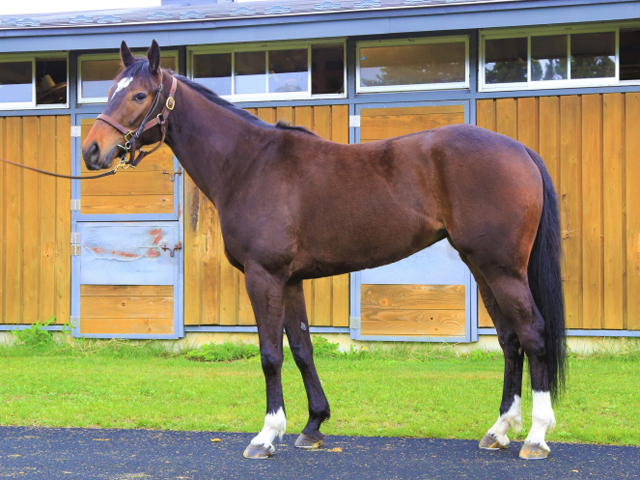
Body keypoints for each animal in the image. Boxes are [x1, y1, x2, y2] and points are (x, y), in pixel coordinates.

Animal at [82, 40, 566, 461]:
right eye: (109, 91)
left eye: (139, 95)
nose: (92, 151)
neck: (249, 164)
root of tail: (520, 149)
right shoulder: (291, 280)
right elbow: (302, 349)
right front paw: (313, 426)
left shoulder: (264, 276)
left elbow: (270, 355)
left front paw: (266, 435)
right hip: (484, 270)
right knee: (510, 341)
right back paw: (499, 431)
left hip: (502, 269)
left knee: (533, 333)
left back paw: (536, 436)